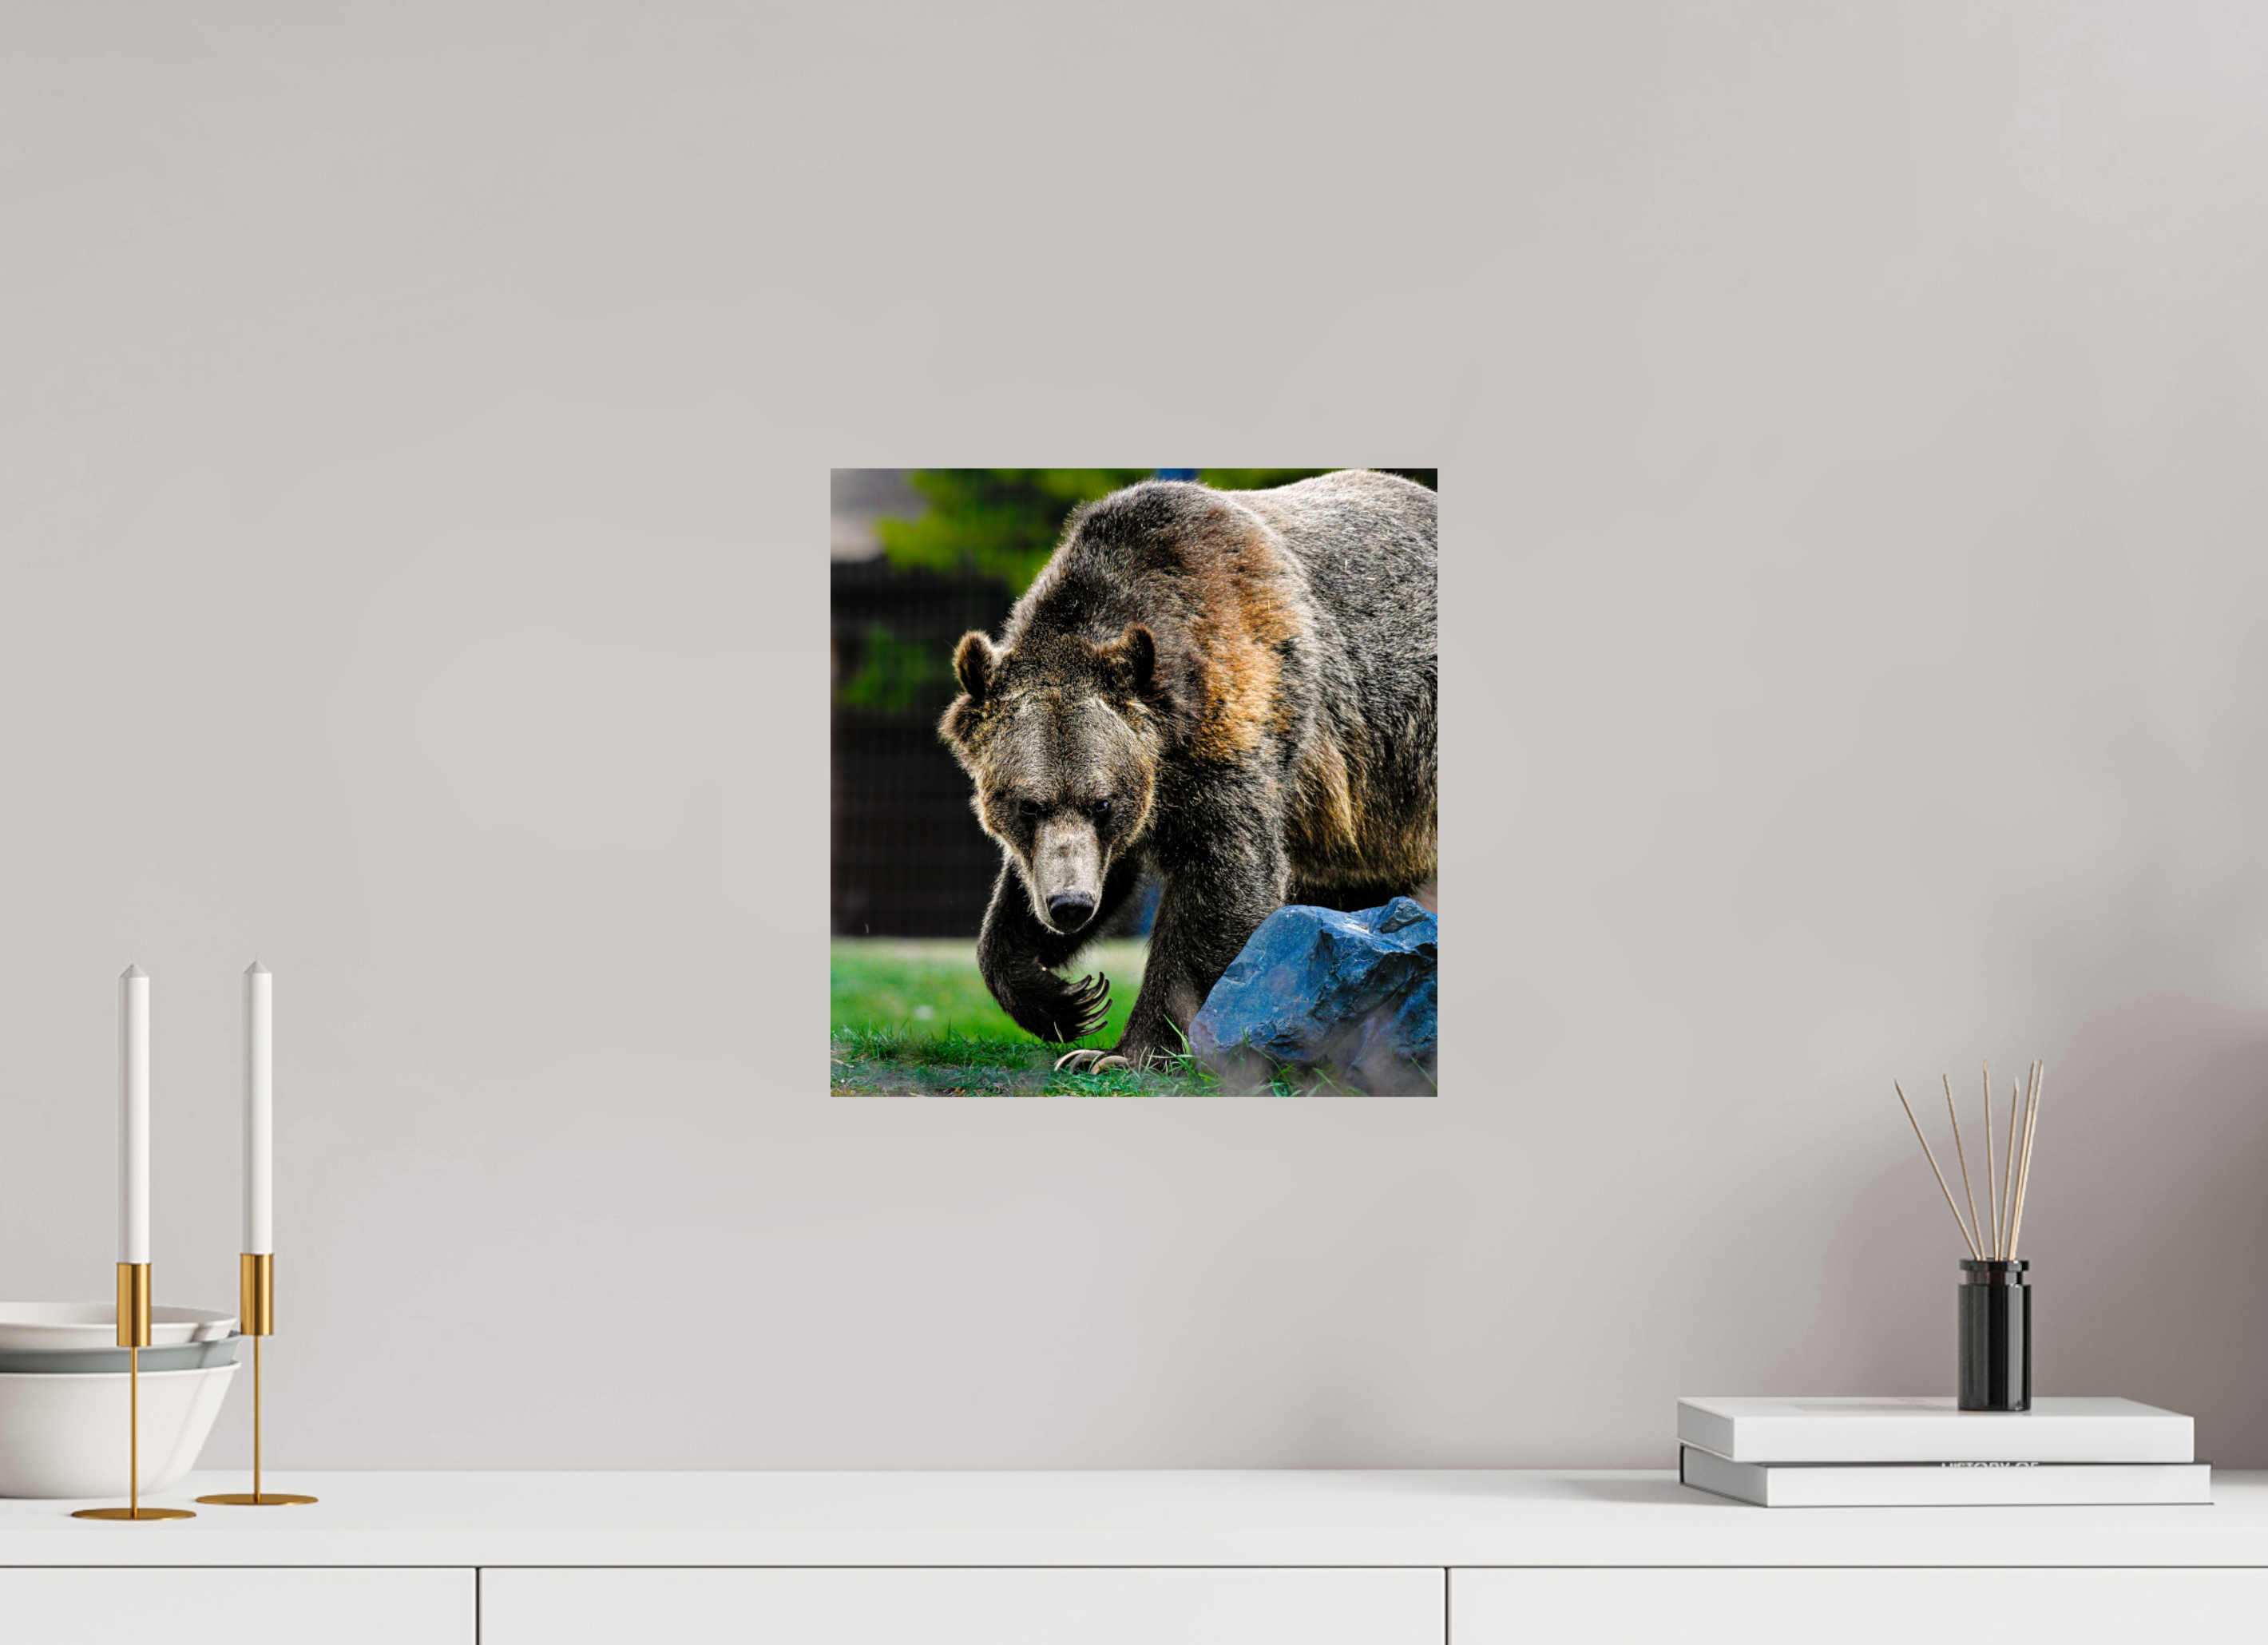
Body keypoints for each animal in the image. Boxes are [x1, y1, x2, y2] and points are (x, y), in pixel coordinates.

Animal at [938, 469, 1437, 1072]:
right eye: (1027, 804)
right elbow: (1046, 886)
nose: (1070, 906)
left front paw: (1125, 1051)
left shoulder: (1239, 724)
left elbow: (1222, 884)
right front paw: (1062, 1000)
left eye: (1102, 801)